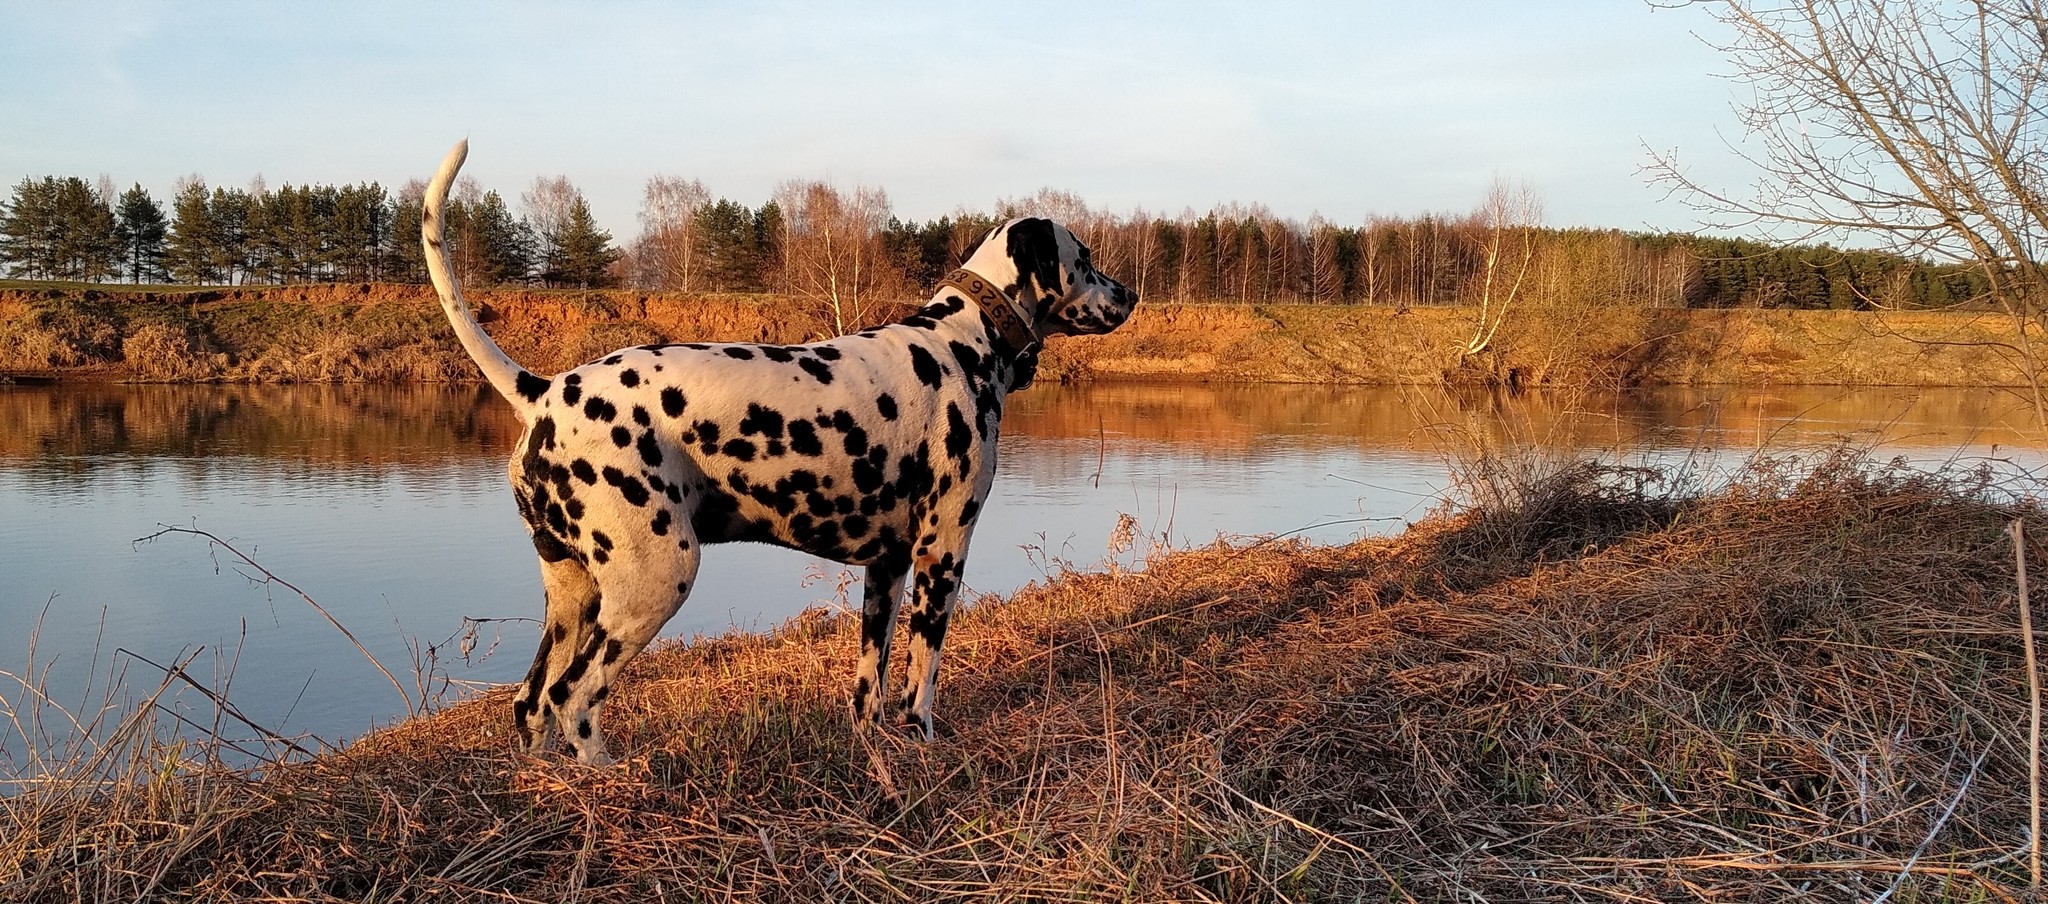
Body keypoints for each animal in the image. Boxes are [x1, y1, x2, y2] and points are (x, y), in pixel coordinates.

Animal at [419, 141, 1138, 762]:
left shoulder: (886, 569)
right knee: (574, 700)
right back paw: (610, 773)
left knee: (533, 702)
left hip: (574, 595)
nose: (1130, 293)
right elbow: (920, 683)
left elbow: (869, 684)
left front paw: (872, 750)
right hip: (655, 580)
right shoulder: (942, 555)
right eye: (1087, 255)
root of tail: (543, 391)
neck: (963, 339)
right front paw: (925, 747)